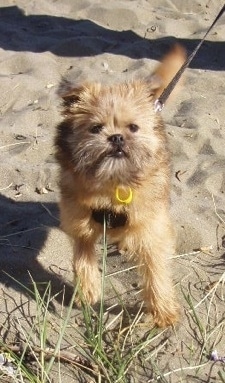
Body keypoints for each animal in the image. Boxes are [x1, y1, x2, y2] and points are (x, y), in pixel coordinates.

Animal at [54, 44, 185, 328]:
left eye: (133, 127)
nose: (115, 137)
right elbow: (82, 257)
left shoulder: (152, 228)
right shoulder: (79, 223)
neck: (113, 184)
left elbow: (156, 269)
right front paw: (87, 289)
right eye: (95, 128)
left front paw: (162, 309)